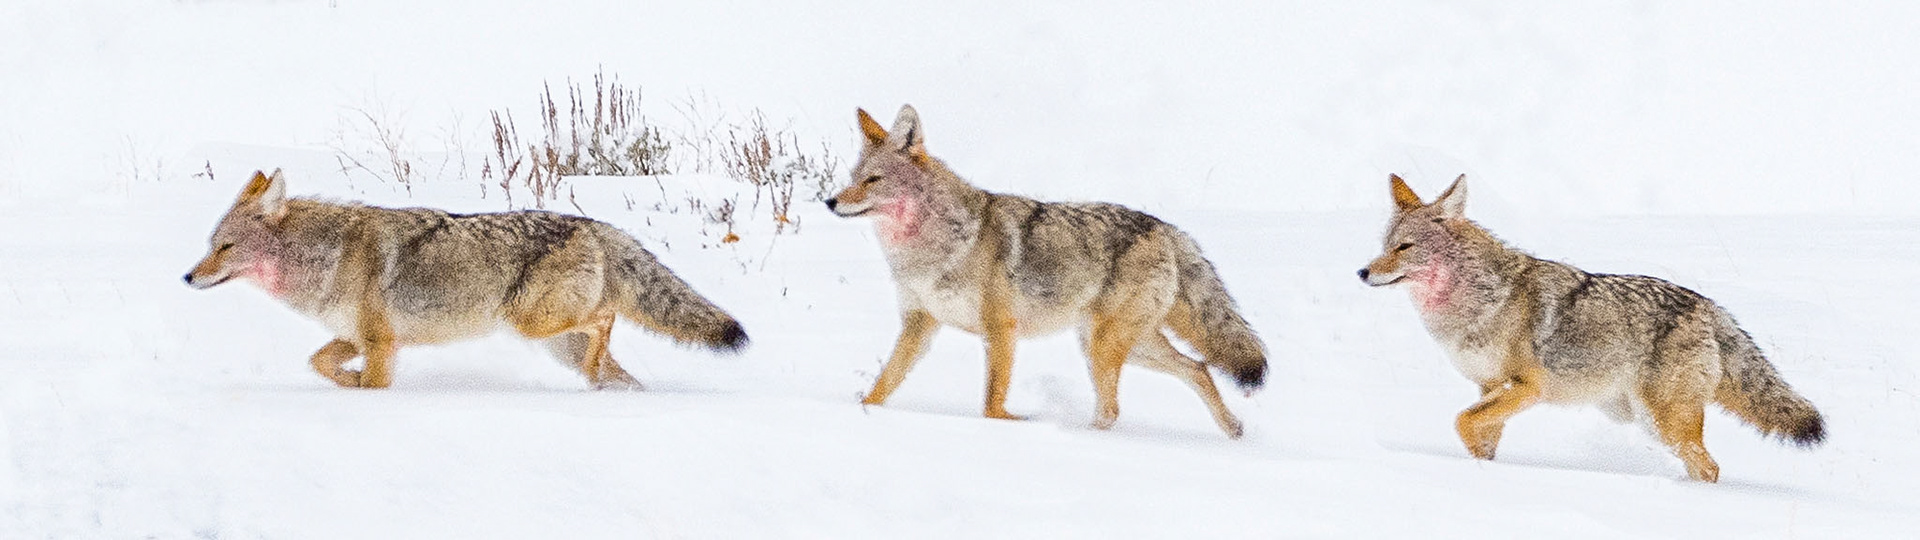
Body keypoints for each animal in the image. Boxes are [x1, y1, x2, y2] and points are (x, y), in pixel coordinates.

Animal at [184, 169, 747, 390]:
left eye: (224, 247)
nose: (187, 276)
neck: (324, 257)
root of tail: (596, 226)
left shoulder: (380, 343)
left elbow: (368, 381)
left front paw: (362, 389)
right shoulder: (359, 337)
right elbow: (318, 362)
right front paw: (348, 381)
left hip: (531, 324)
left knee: (605, 320)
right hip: (554, 342)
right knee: (620, 372)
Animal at [826, 105, 1267, 438]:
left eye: (873, 180)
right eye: (853, 179)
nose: (830, 201)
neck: (932, 248)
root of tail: (1166, 228)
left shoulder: (1001, 329)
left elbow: (991, 404)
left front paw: (1014, 425)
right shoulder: (919, 324)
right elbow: (882, 385)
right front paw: (861, 412)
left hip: (1104, 346)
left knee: (1114, 409)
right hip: (1117, 345)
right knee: (1199, 369)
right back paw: (1233, 430)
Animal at [1359, 174, 1825, 482]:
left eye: (1405, 248)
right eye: (1385, 246)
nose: (1362, 272)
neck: (1479, 299)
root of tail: (1711, 308)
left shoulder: (1528, 387)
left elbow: (1462, 422)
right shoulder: (1489, 387)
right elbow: (1479, 434)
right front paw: (1484, 473)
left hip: (1665, 423)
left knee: (1709, 467)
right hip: (1646, 421)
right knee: (1703, 465)